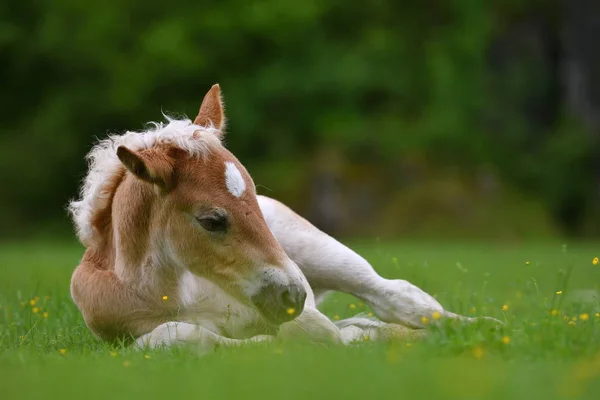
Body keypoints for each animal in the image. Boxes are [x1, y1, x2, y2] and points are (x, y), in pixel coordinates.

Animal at [68, 83, 494, 350]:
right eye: (211, 221)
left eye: (254, 200)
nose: (292, 295)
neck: (176, 290)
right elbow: (182, 337)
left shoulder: (304, 312)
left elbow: (326, 334)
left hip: (324, 252)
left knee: (397, 297)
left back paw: (484, 329)